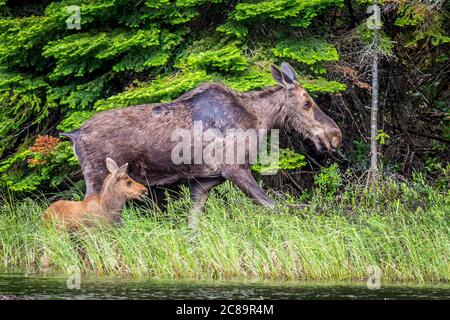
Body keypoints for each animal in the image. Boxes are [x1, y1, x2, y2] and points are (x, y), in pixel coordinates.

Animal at [61, 63, 342, 228]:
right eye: (306, 103)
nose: (335, 135)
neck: (259, 120)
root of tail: (73, 135)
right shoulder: (236, 169)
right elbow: (273, 206)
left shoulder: (203, 182)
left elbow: (193, 225)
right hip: (98, 176)